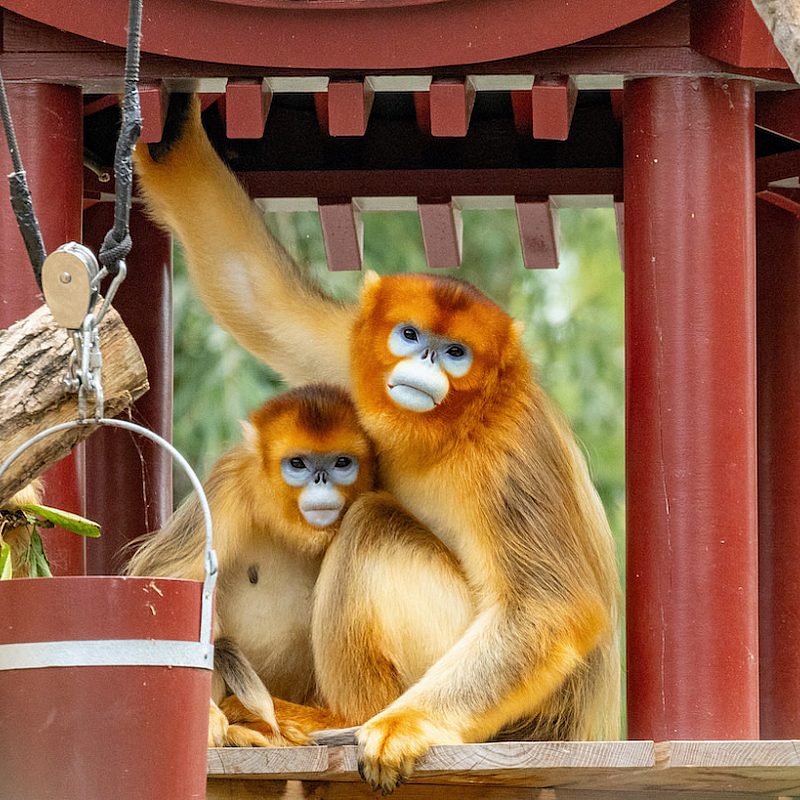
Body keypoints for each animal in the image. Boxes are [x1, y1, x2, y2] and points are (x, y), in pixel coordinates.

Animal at [125, 383, 377, 747]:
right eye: (297, 463)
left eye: (341, 462)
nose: (321, 480)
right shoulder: (229, 485)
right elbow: (165, 578)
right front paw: (207, 717)